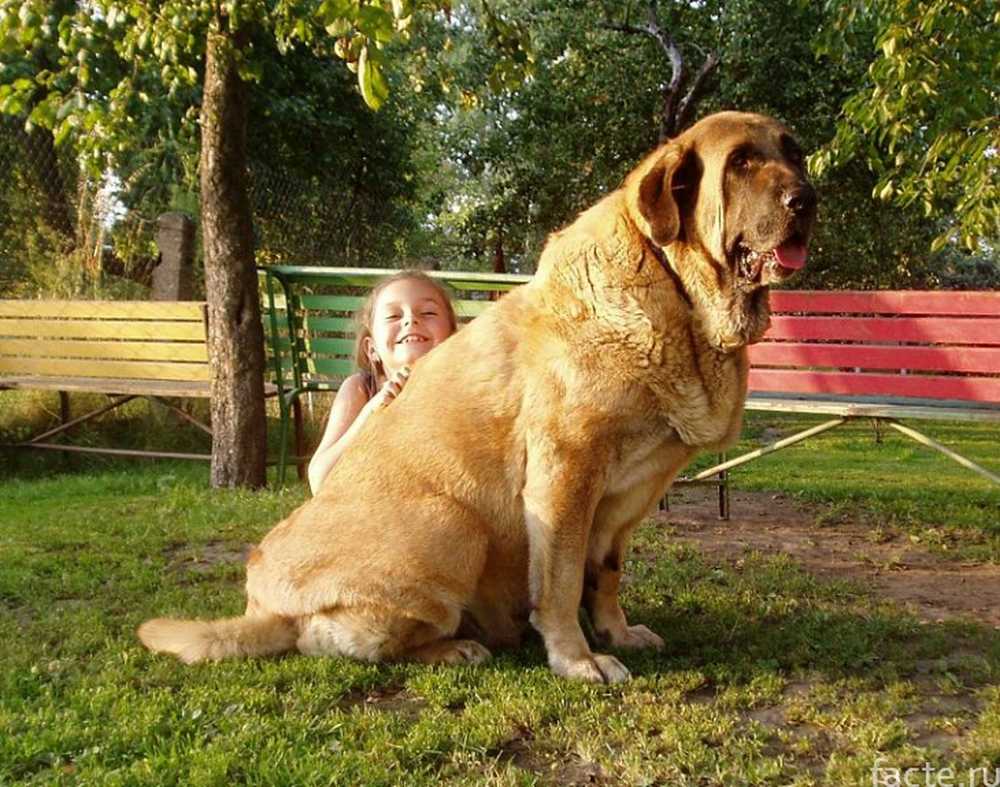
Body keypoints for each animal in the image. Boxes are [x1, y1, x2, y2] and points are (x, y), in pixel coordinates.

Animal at [139, 112, 812, 684]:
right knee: (346, 642)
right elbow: (561, 581)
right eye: (742, 162)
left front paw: (615, 634)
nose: (807, 198)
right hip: (451, 521)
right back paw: (458, 646)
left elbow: (605, 574)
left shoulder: (626, 501)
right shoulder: (564, 476)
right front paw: (577, 659)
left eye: (793, 152)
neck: (679, 301)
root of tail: (263, 607)